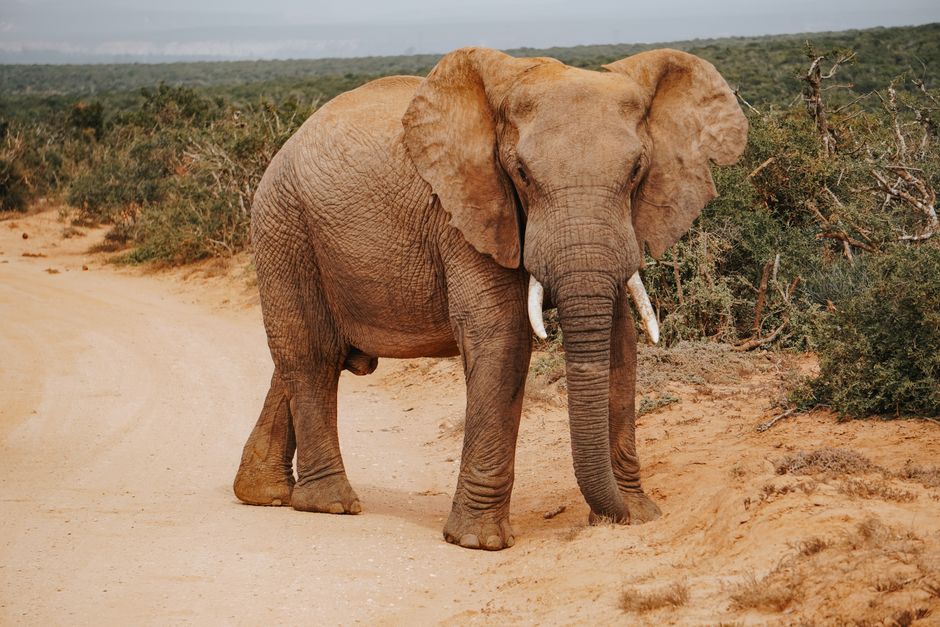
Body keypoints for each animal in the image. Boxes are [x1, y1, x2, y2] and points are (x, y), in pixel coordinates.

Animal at [233, 46, 747, 550]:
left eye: (637, 170)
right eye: (521, 173)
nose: (613, 515)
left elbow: (620, 339)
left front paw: (638, 515)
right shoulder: (466, 209)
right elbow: (502, 335)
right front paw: (478, 542)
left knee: (307, 358)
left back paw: (263, 493)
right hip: (283, 224)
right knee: (311, 355)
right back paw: (330, 504)